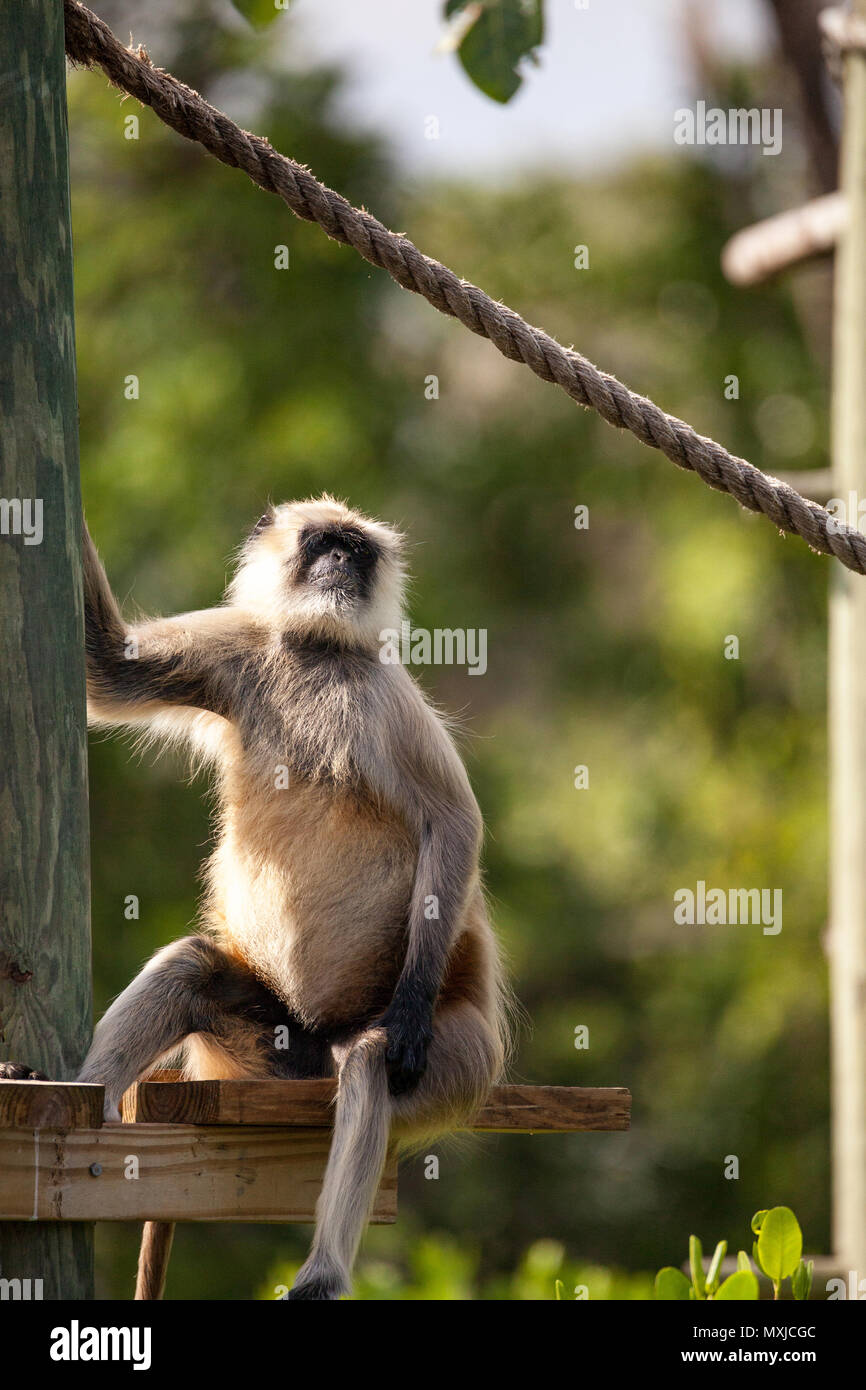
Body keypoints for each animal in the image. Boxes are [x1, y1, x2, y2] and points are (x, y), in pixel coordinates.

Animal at [3, 500, 508, 1301]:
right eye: (323, 543)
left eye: (357, 550)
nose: (339, 566)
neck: (316, 655)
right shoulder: (241, 650)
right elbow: (106, 665)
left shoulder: (383, 694)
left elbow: (453, 826)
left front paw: (407, 1014)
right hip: (273, 1052)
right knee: (190, 968)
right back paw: (75, 1100)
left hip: (458, 1059)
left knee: (371, 1060)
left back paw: (322, 1275)